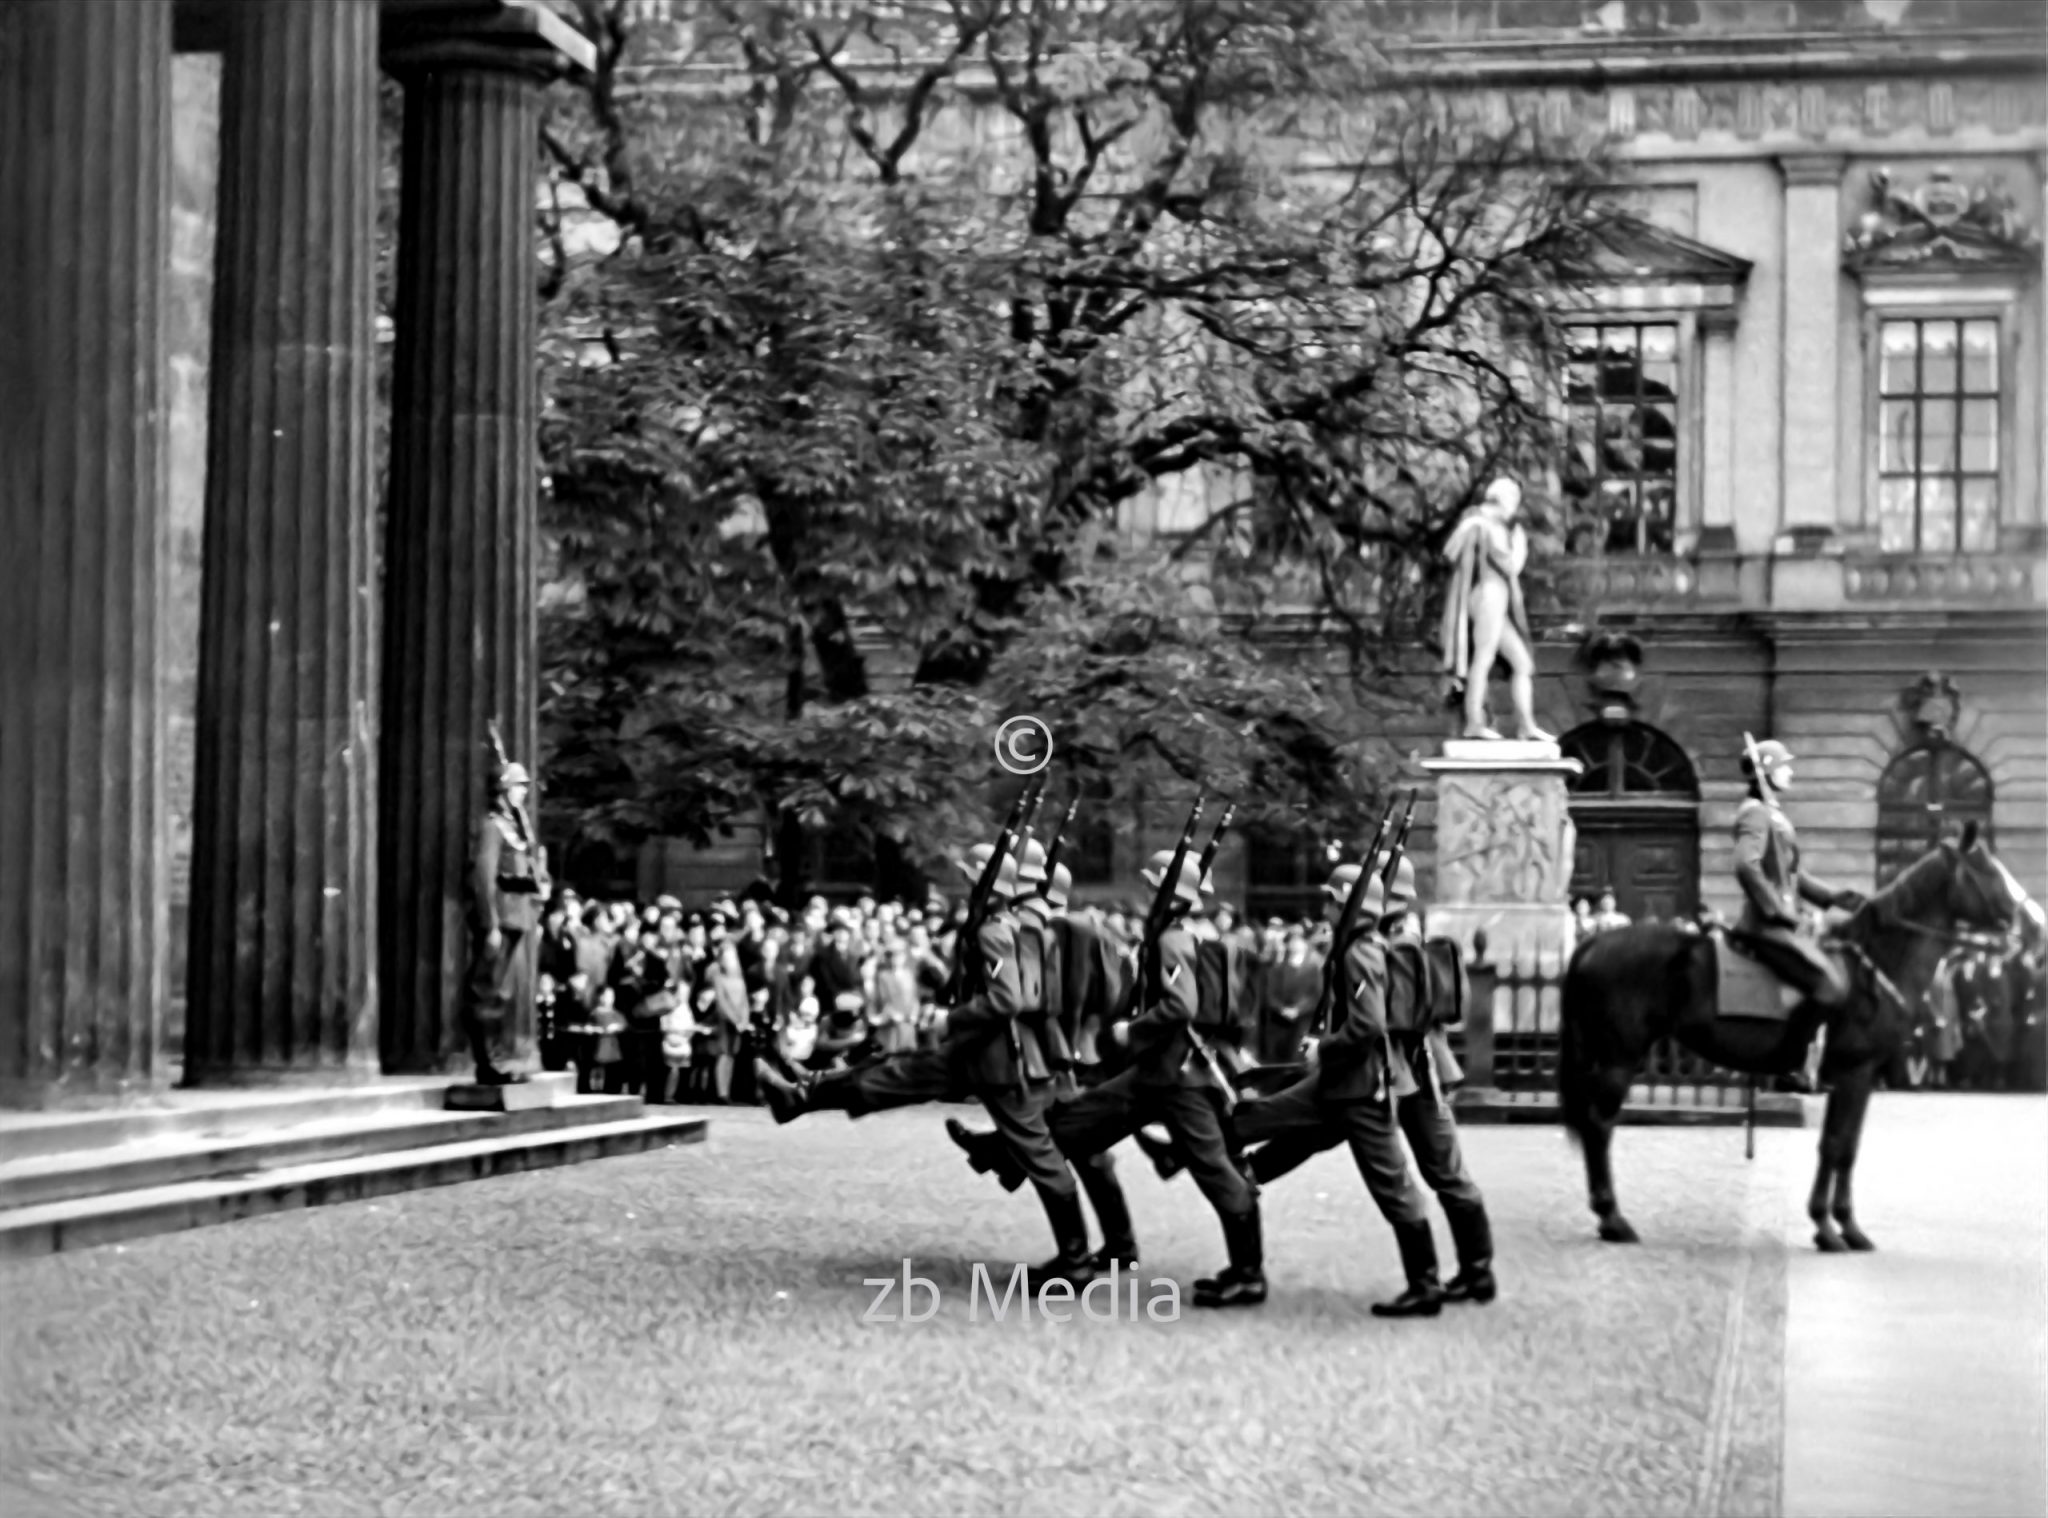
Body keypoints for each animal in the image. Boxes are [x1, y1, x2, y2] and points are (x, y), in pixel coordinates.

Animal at [1556, 823, 2023, 1245]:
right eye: (1987, 868)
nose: (2022, 919)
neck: (1872, 964)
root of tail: (1593, 943)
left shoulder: (1858, 1076)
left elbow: (1843, 1145)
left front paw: (1838, 1225)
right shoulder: (1855, 1072)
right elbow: (1837, 1146)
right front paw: (1833, 1227)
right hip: (1618, 1058)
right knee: (1599, 1126)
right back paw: (1613, 1219)